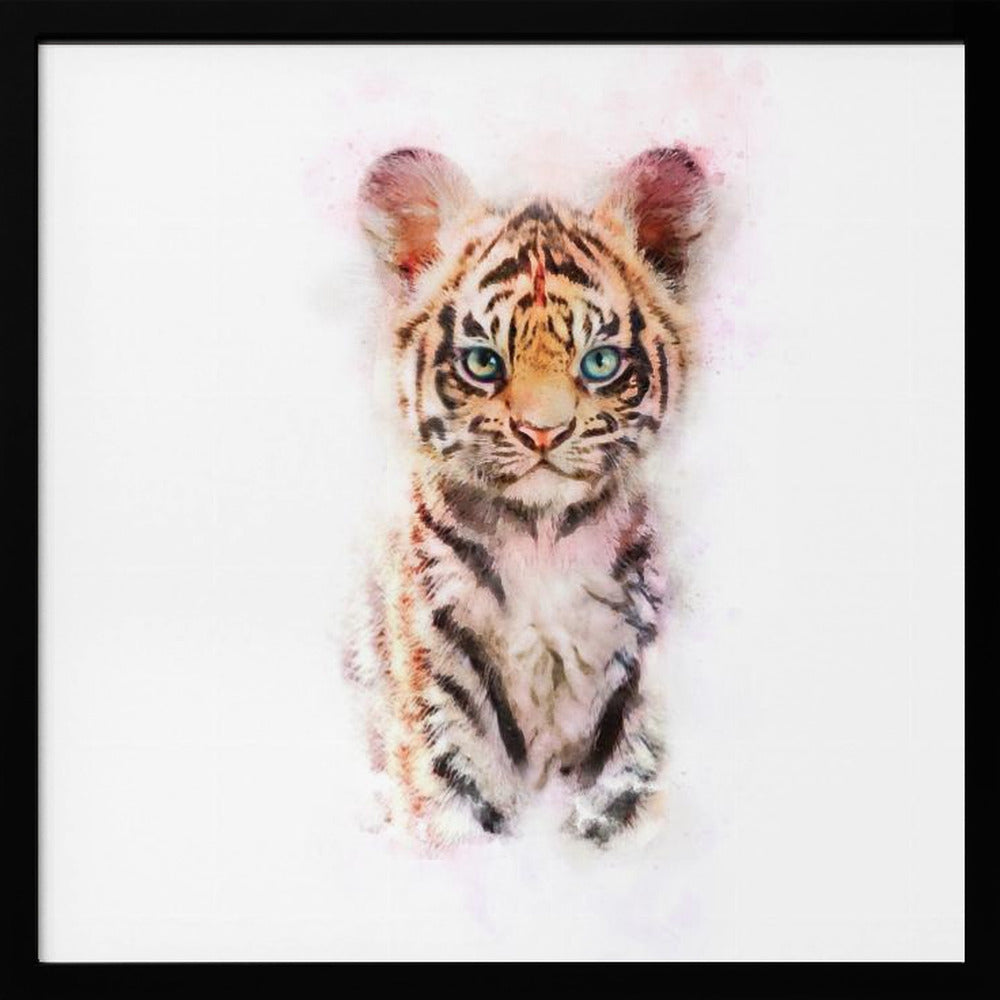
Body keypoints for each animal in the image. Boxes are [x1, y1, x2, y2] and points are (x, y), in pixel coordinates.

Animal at [343, 145, 711, 848]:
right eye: (484, 363)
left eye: (599, 363)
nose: (543, 431)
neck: (543, 542)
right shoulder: (441, 687)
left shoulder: (637, 687)